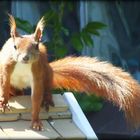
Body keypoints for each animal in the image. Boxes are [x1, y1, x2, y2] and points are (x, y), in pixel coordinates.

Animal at [0, 14, 140, 130]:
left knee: (46, 88)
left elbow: (36, 97)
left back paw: (47, 99)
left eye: (36, 46)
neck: (23, 65)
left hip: (47, 72)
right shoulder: (6, 67)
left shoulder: (37, 73)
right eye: (15, 47)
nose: (25, 58)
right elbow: (4, 84)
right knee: (14, 90)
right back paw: (12, 95)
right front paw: (4, 102)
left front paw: (35, 121)